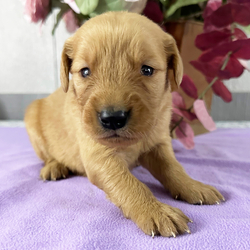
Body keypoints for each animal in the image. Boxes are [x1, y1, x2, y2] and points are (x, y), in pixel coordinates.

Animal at [24, 11, 225, 237]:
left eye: (147, 70)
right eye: (85, 72)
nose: (112, 118)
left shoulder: (158, 143)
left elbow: (173, 168)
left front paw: (194, 186)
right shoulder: (99, 154)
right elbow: (127, 183)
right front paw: (156, 210)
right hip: (32, 120)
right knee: (47, 156)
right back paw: (54, 166)